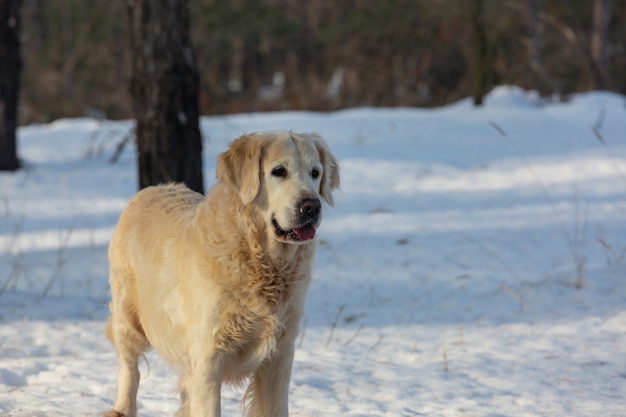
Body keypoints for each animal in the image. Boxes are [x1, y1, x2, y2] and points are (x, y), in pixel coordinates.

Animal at [103, 131, 336, 416]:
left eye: (315, 172)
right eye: (279, 171)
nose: (311, 206)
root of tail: (152, 188)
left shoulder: (279, 356)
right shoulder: (208, 357)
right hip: (127, 316)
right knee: (129, 367)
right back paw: (122, 408)